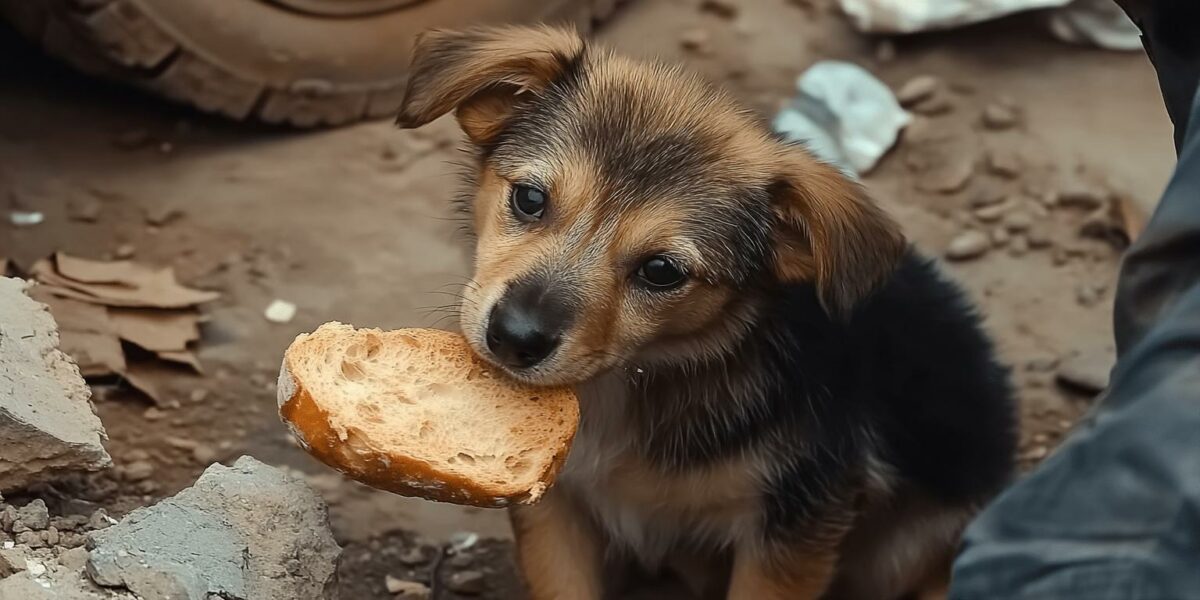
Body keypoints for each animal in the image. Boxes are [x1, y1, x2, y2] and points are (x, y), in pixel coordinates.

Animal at [398, 24, 1017, 600]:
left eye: (662, 271)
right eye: (529, 198)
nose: (514, 338)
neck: (637, 380)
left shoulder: (794, 523)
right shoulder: (555, 504)